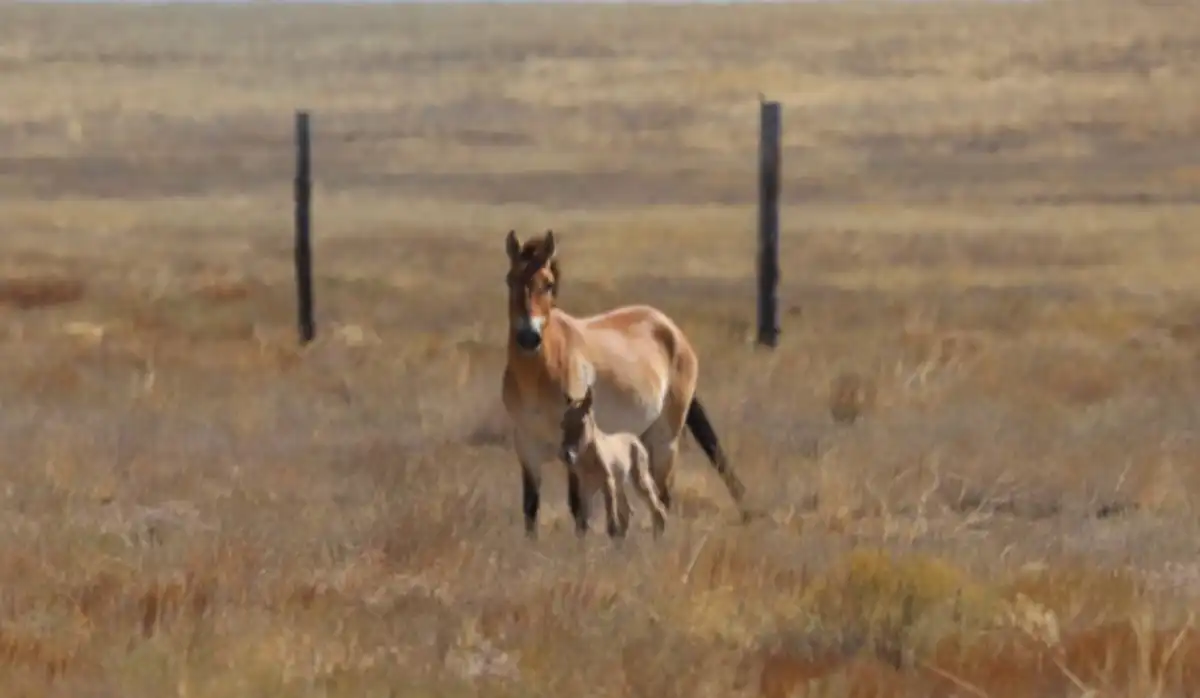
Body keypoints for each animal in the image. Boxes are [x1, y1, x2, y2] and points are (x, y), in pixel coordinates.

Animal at [558, 382, 668, 539]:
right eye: (563, 424)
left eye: (582, 423)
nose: (567, 454)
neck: (589, 461)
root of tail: (635, 440)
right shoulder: (586, 488)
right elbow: (583, 525)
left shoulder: (607, 483)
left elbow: (612, 527)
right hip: (620, 485)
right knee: (628, 513)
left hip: (639, 480)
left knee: (658, 510)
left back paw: (657, 542)